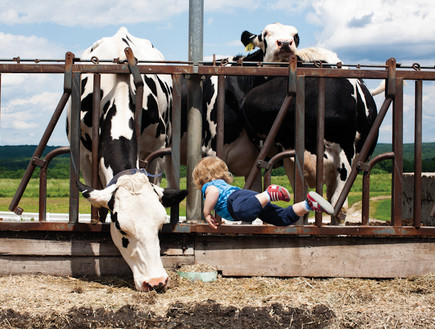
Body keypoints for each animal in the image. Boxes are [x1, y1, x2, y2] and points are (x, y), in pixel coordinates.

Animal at [67, 26, 186, 290]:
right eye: (121, 228)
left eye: (160, 224)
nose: (156, 281)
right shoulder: (84, 154)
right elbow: (97, 204)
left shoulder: (157, 148)